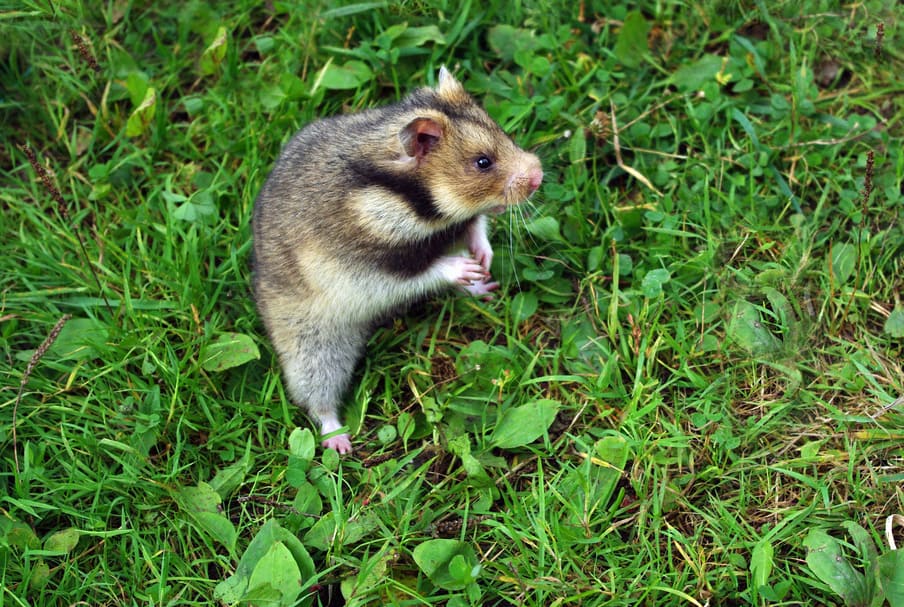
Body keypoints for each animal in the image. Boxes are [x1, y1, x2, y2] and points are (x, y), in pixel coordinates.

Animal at [252, 66, 543, 453]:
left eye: (503, 132)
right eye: (482, 162)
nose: (539, 174)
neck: (409, 199)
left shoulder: (457, 225)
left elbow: (475, 226)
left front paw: (483, 260)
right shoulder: (368, 270)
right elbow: (424, 271)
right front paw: (465, 266)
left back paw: (485, 287)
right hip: (312, 344)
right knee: (317, 399)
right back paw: (340, 442)